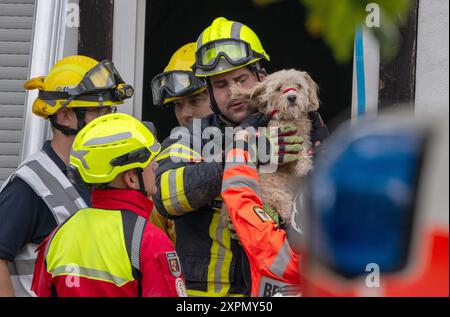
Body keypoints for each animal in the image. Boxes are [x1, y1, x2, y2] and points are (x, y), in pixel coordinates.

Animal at [230, 69, 318, 222]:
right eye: (278, 88)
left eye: (298, 85)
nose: (291, 97)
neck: (289, 119)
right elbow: (300, 152)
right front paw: (303, 167)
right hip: (279, 198)